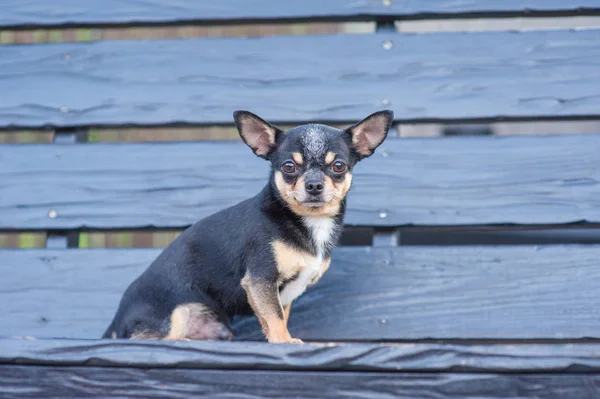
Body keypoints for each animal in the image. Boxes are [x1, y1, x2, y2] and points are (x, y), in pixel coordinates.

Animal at [103, 109, 394, 344]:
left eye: (339, 166)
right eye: (289, 167)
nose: (313, 185)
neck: (307, 221)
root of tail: (115, 321)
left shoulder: (277, 292)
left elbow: (278, 315)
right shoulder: (260, 279)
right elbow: (275, 317)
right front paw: (284, 342)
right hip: (173, 314)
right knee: (145, 339)